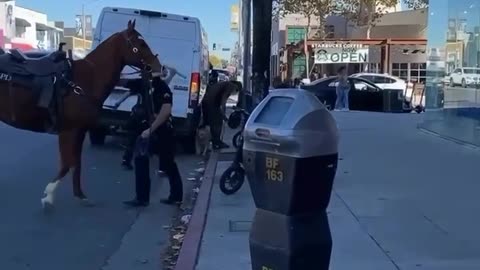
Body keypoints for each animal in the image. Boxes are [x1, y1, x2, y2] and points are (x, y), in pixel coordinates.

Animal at [0, 20, 162, 209]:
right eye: (141, 44)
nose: (159, 67)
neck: (84, 80)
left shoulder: (79, 131)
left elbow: (75, 162)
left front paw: (79, 195)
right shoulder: (68, 131)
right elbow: (67, 163)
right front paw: (49, 195)